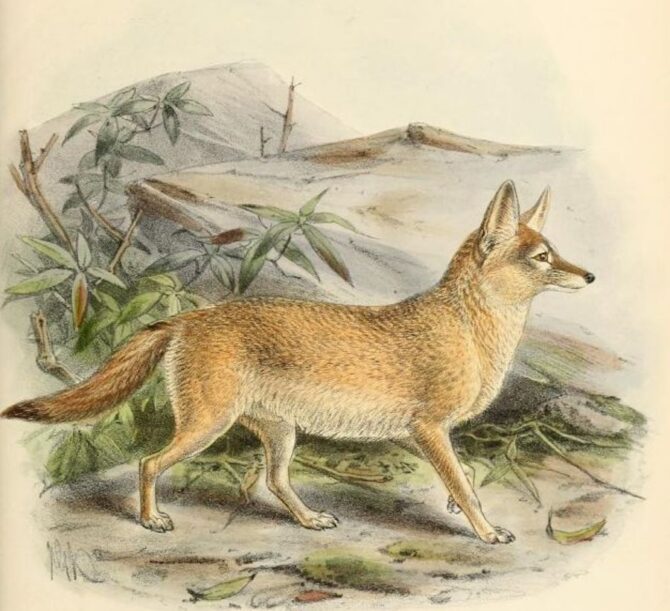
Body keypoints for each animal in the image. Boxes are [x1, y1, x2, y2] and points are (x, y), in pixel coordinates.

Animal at [2, 180, 594, 544]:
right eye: (543, 257)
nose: (590, 276)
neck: (471, 328)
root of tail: (191, 317)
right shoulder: (428, 429)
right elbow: (468, 487)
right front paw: (485, 530)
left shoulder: (415, 433)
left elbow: (463, 475)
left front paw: (453, 506)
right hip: (208, 425)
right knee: (150, 463)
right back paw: (151, 521)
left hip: (279, 432)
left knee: (275, 482)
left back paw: (309, 520)